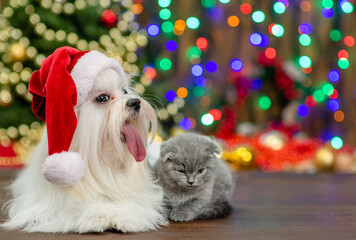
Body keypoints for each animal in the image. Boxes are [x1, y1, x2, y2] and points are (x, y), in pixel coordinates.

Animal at [1, 46, 167, 232]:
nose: (135, 102)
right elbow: (76, 208)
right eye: (102, 98)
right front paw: (98, 215)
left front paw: (126, 216)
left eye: (124, 91)